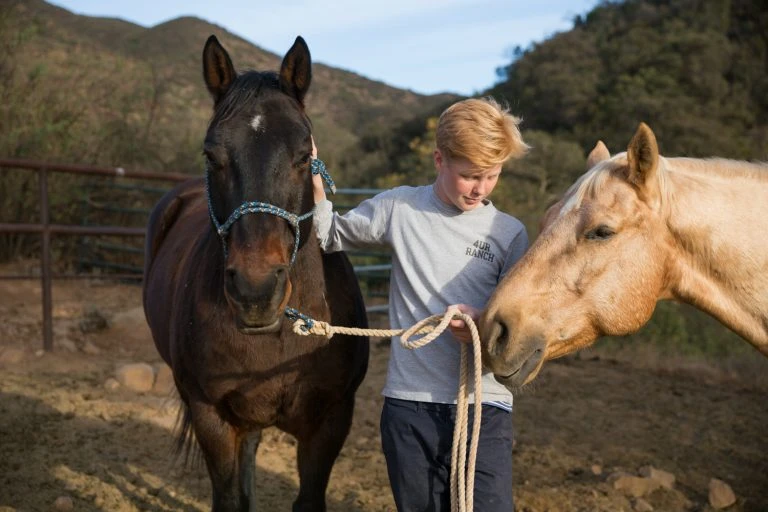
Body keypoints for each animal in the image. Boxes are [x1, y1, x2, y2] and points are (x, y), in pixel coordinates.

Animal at [142, 35, 369, 511]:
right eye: (211, 154)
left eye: (304, 154)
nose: (255, 290)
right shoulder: (212, 416)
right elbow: (230, 499)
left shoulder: (331, 420)